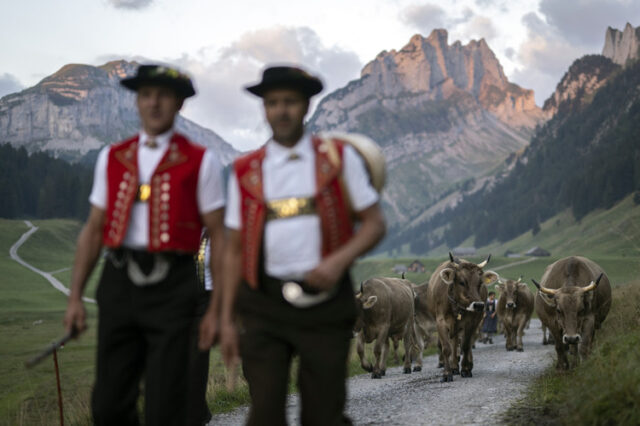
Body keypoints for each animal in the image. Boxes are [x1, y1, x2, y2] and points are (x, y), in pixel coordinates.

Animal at [424, 253, 500, 382]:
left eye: (480, 283)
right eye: (462, 282)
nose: (478, 305)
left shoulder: (471, 322)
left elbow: (465, 346)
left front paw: (465, 369)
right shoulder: (441, 321)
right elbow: (446, 348)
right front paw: (447, 373)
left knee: (466, 344)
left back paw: (468, 365)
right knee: (454, 343)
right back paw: (454, 367)